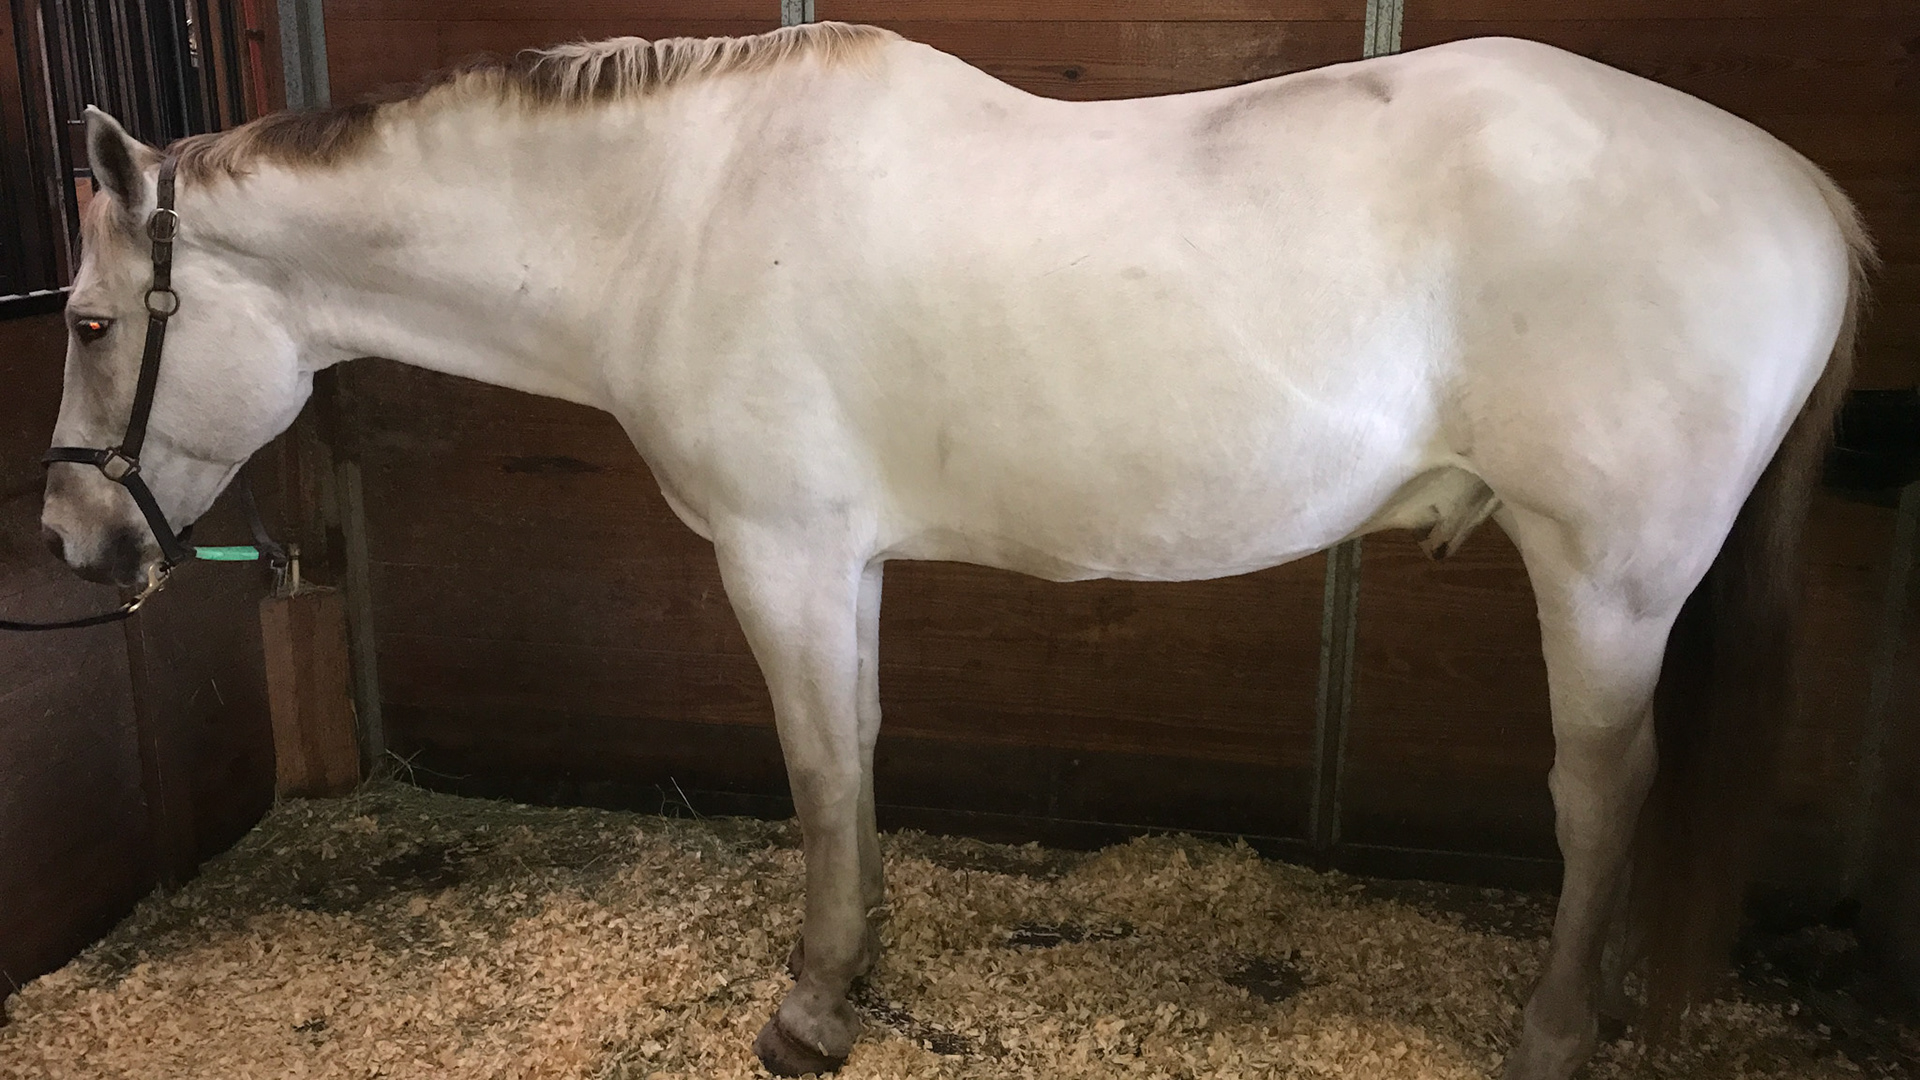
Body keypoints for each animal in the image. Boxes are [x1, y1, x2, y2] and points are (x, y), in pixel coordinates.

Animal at [41, 23, 1868, 1079]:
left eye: (84, 320)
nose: (69, 539)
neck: (674, 215)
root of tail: (1808, 194)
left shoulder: (779, 554)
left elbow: (816, 770)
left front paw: (805, 1011)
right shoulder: (838, 561)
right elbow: (857, 751)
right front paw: (854, 973)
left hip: (1607, 578)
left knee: (1604, 793)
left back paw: (1555, 1032)